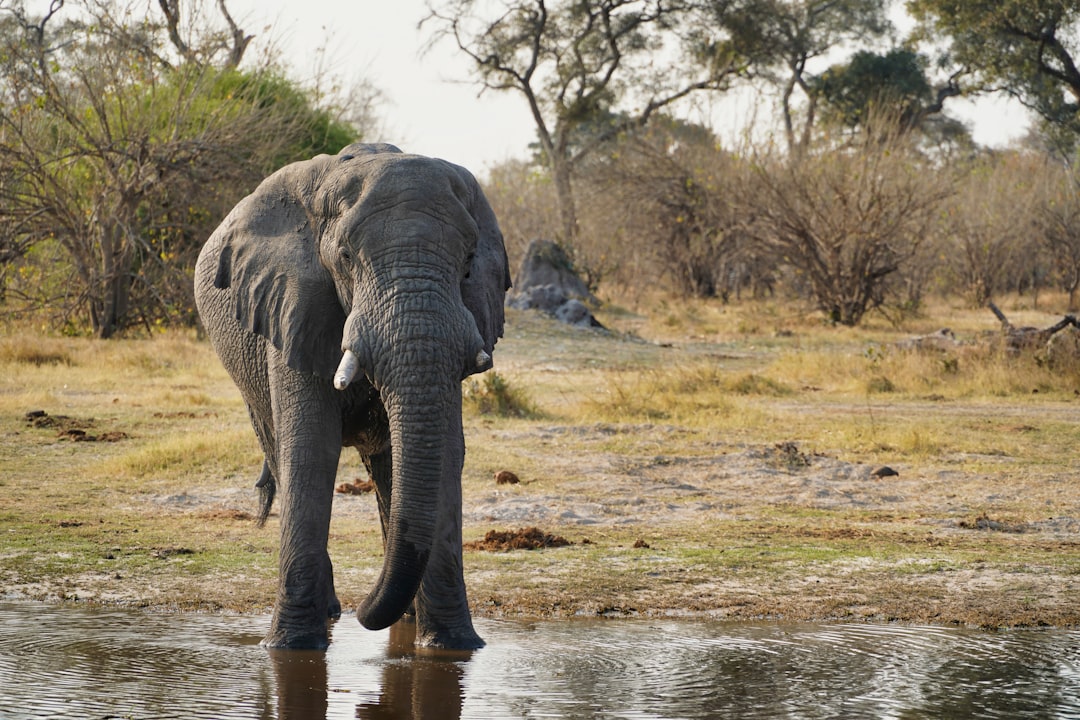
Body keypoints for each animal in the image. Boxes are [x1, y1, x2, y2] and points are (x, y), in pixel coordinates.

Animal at [194, 143, 509, 651]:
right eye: (344, 256)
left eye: (468, 261)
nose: (364, 613)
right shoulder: (295, 304)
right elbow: (311, 449)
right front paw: (292, 647)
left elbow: (445, 452)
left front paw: (455, 647)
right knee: (281, 449)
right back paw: (334, 613)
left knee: (388, 468)